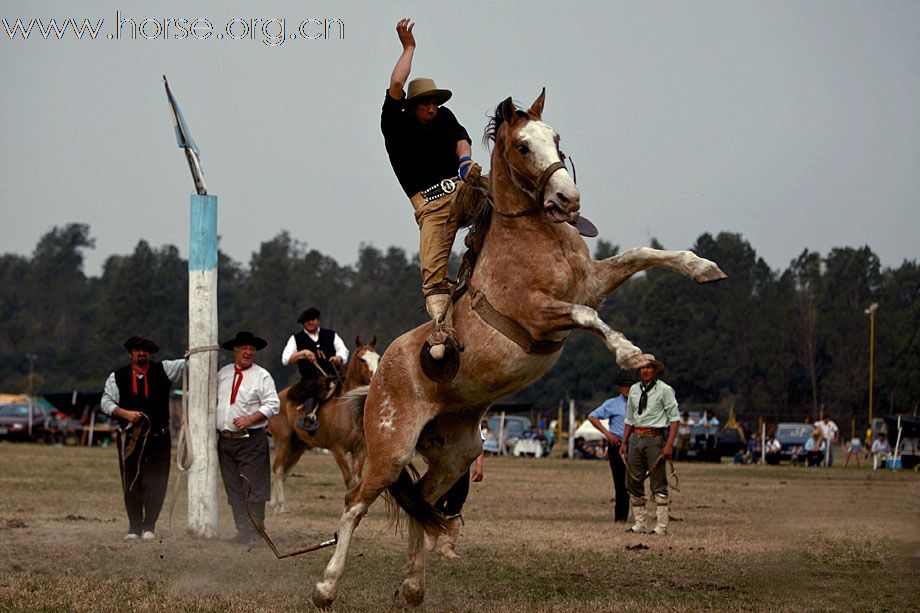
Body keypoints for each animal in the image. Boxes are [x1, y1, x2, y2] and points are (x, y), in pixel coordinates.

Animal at [312, 91, 728, 608]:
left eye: (555, 137)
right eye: (524, 146)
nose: (569, 199)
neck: (536, 238)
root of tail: (377, 378)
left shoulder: (591, 283)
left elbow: (640, 255)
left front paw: (702, 266)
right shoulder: (540, 313)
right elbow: (588, 317)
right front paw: (631, 354)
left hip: (455, 452)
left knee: (422, 504)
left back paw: (413, 587)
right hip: (391, 448)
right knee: (354, 506)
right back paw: (325, 587)